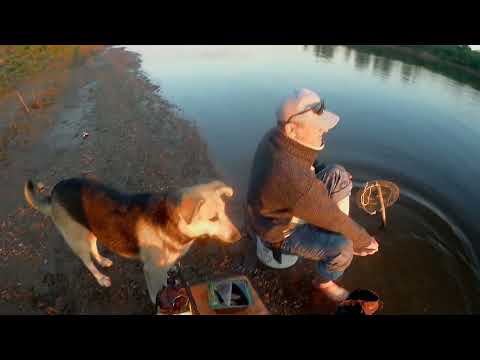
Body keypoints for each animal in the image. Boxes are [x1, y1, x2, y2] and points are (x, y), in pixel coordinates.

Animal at [23, 177, 240, 304]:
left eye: (224, 212)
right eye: (213, 218)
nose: (238, 237)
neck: (170, 222)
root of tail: (53, 193)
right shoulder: (151, 270)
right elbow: (156, 292)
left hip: (92, 229)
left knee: (94, 247)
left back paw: (102, 260)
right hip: (78, 239)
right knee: (86, 261)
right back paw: (100, 277)